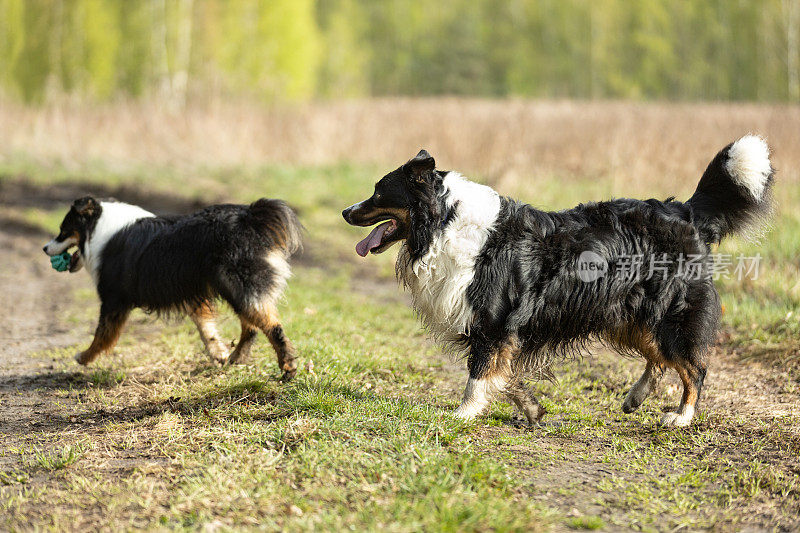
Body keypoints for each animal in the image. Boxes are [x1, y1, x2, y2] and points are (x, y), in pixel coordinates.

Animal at [43, 197, 304, 380]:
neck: (98, 228)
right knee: (250, 327)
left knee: (271, 326)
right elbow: (206, 329)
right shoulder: (192, 293)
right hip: (236, 289)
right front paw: (218, 353)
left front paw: (84, 357)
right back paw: (235, 358)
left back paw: (288, 367)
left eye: (63, 230)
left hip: (238, 283)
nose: (45, 248)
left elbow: (102, 334)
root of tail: (251, 218)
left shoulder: (113, 299)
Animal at [346, 137, 776, 428]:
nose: (346, 212)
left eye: (378, 192)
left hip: (667, 314)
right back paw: (635, 398)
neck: (444, 222)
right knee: (659, 359)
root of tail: (685, 211)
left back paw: (682, 416)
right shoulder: (507, 331)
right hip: (631, 315)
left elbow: (479, 373)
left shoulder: (494, 322)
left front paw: (463, 414)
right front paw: (532, 409)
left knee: (693, 368)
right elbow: (507, 375)